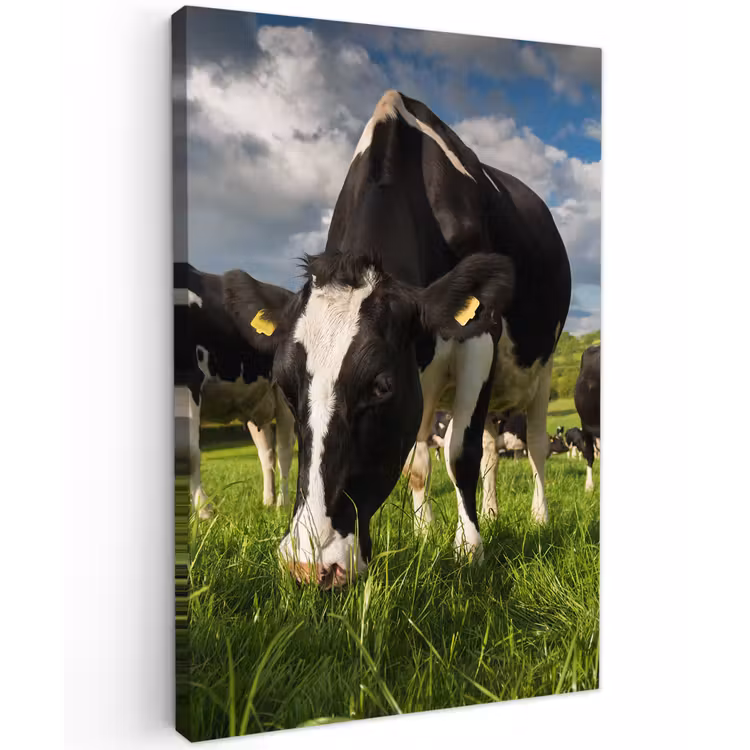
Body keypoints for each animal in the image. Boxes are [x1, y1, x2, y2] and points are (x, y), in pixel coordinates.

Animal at [174, 262, 296, 519]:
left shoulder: (188, 378)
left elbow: (188, 452)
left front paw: (204, 511)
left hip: (284, 397)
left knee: (285, 451)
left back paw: (283, 504)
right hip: (254, 406)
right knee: (266, 454)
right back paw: (268, 501)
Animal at [222, 90, 571, 588]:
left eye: (380, 386)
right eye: (285, 387)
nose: (310, 564)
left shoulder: (479, 335)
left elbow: (459, 453)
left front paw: (470, 549)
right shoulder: (419, 375)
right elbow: (419, 464)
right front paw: (427, 533)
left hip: (540, 370)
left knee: (537, 446)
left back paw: (539, 517)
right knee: (487, 450)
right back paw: (490, 511)